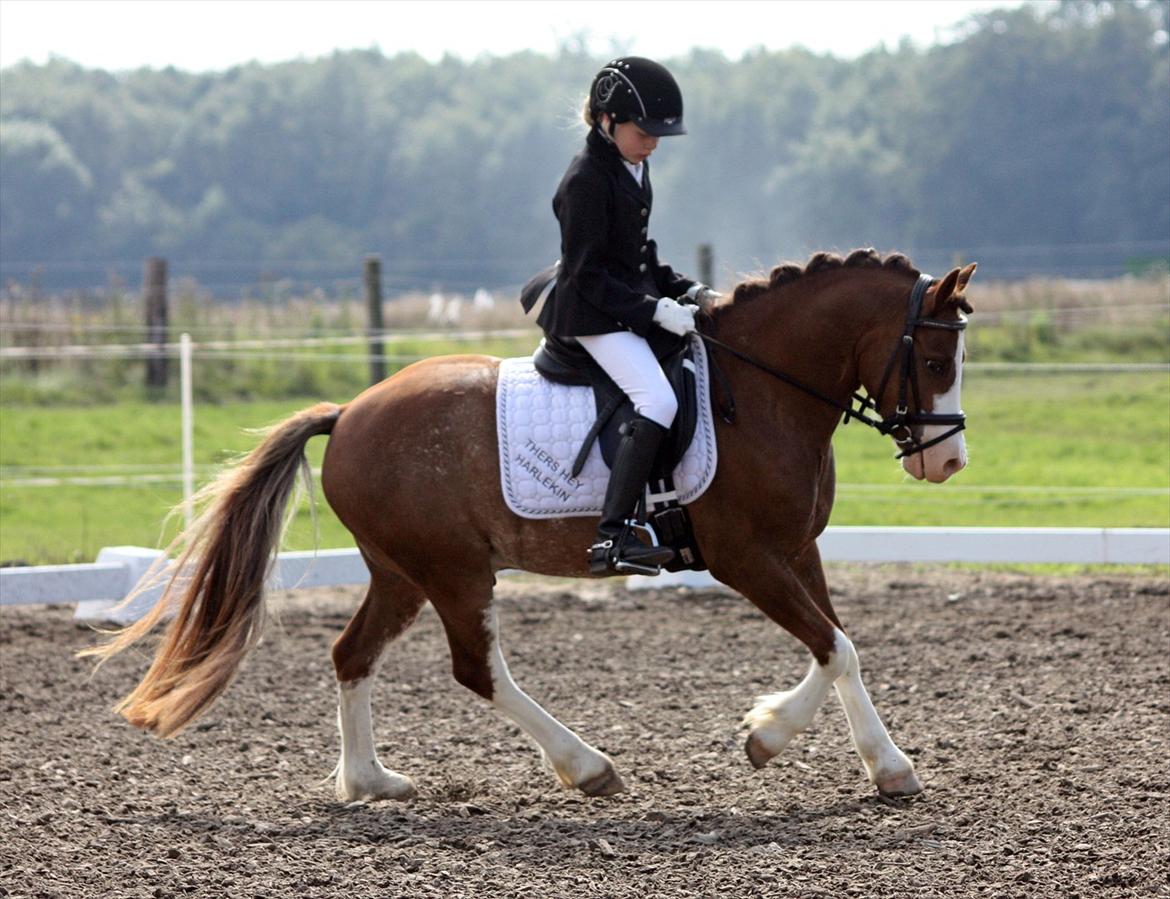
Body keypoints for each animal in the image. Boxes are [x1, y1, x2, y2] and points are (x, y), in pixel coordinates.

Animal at [86, 250, 973, 800]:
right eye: (934, 361)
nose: (948, 462)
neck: (761, 389)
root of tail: (350, 413)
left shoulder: (796, 548)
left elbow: (837, 645)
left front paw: (793, 739)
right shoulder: (744, 557)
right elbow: (835, 645)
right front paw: (847, 754)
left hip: (402, 571)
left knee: (352, 654)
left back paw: (370, 782)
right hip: (452, 569)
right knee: (476, 669)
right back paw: (587, 765)